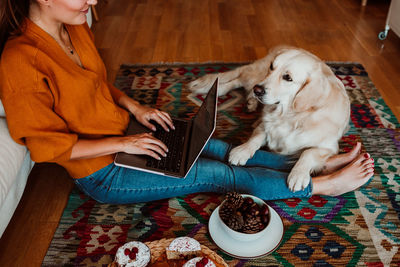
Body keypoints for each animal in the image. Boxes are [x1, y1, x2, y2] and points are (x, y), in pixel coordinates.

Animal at [188, 46, 350, 193]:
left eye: (288, 77)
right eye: (272, 67)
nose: (258, 90)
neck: (291, 116)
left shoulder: (330, 147)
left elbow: (308, 153)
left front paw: (298, 175)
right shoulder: (264, 125)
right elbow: (256, 138)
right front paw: (242, 151)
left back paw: (251, 102)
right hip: (254, 77)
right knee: (238, 78)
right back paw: (220, 91)